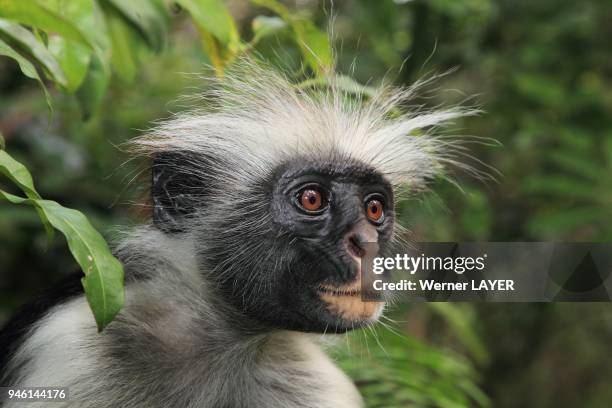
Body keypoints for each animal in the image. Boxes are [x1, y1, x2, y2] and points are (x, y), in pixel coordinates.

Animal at [0, 61, 468, 408]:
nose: (366, 245)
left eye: (374, 209)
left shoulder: (315, 386)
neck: (226, 343)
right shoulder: (64, 351)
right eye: (312, 199)